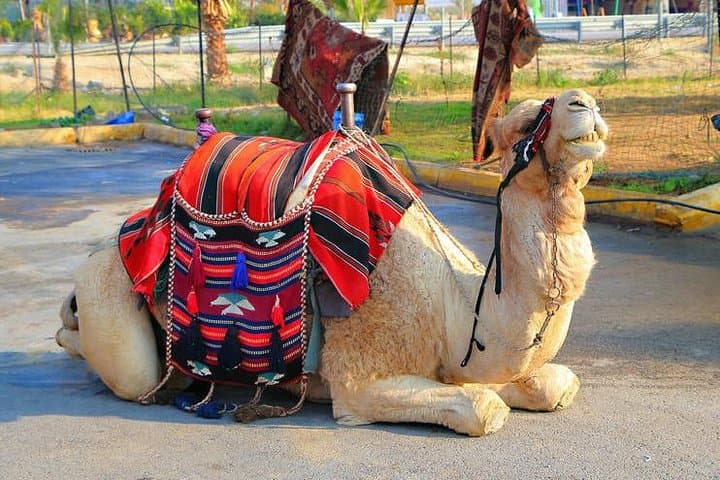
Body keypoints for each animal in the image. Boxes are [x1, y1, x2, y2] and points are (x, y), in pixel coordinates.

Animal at [55, 88, 607, 436]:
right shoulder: (361, 378)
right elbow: (483, 409)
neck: (455, 307)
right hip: (111, 296)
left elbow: (556, 382)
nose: (585, 103)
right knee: (131, 371)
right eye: (523, 126)